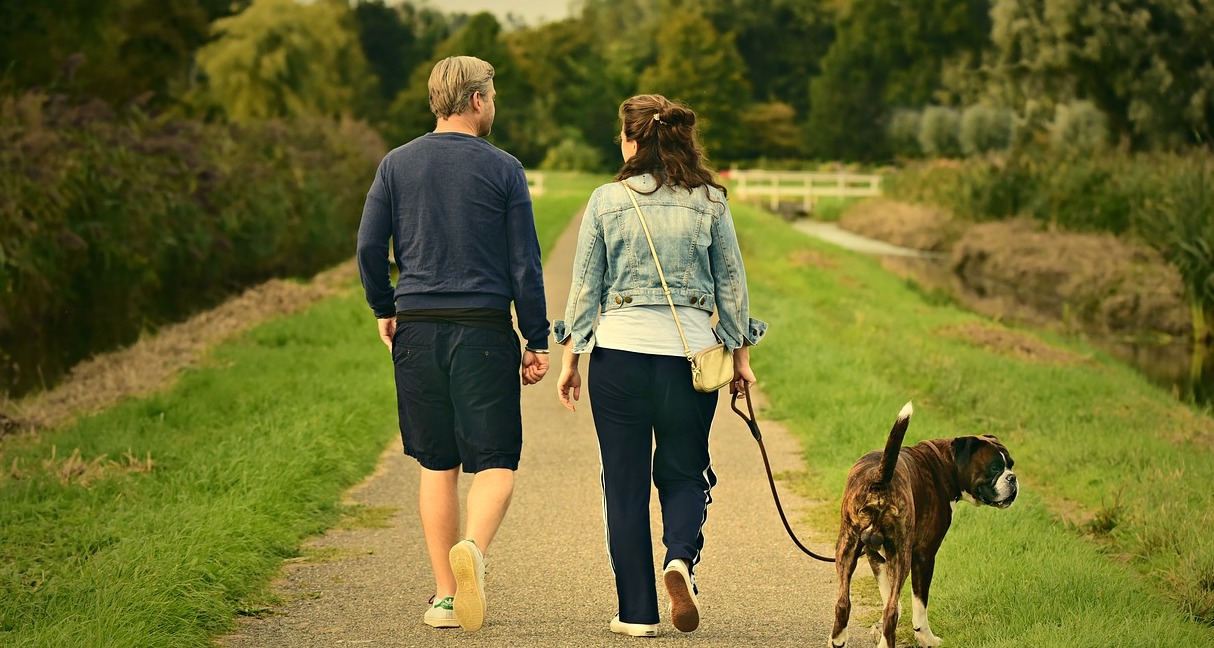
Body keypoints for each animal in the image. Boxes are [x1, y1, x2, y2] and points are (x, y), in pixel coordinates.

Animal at [830, 400, 1019, 648]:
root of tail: (880, 480)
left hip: (847, 547)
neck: (944, 463)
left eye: (1011, 465)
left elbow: (890, 596)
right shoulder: (924, 555)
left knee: (844, 603)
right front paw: (925, 637)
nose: (1013, 478)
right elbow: (918, 605)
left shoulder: (874, 554)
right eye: (995, 468)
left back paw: (838, 639)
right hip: (901, 554)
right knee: (890, 612)